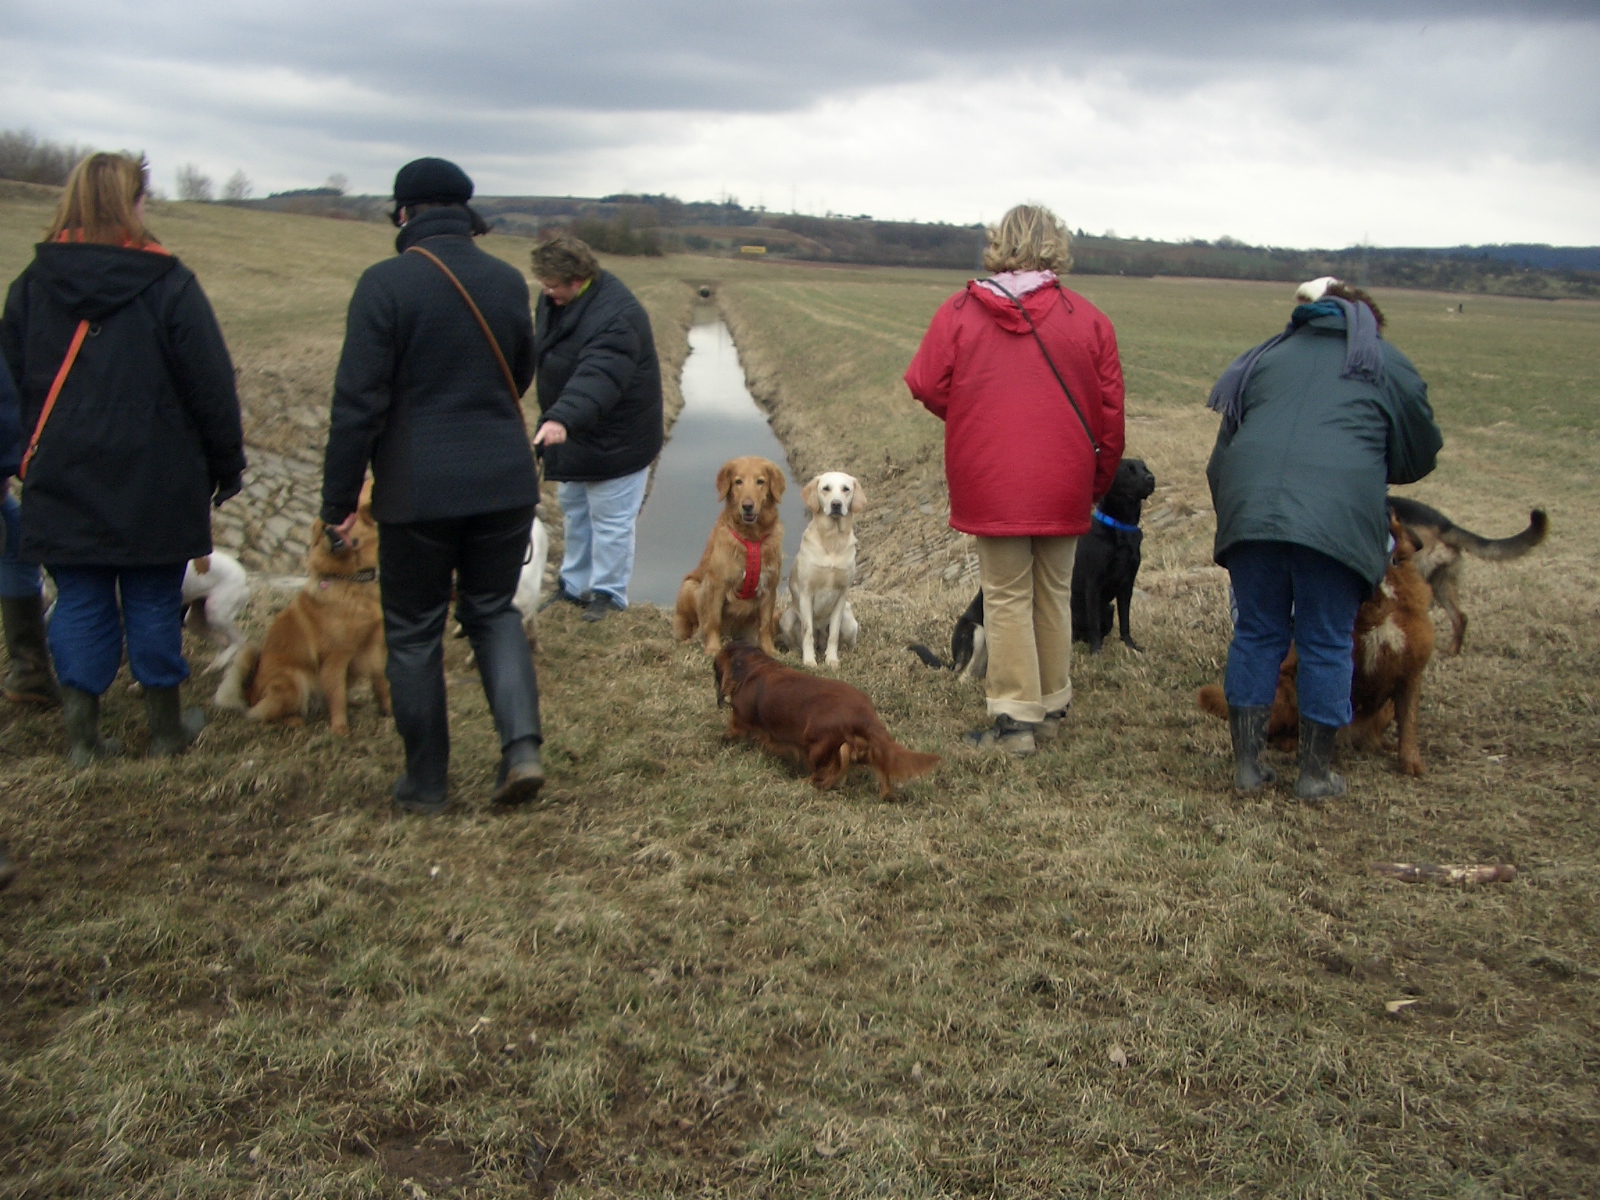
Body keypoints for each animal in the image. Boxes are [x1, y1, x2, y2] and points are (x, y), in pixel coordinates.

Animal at [216, 483, 390, 739]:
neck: (351, 580)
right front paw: (340, 729)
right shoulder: (336, 657)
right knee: (266, 712)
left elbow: (380, 684)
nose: (330, 533)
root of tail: (250, 693)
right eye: (325, 527)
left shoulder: (376, 646)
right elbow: (336, 694)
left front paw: (388, 712)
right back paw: (293, 720)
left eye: (344, 522)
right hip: (293, 678)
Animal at [672, 454, 784, 659]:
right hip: (690, 586)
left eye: (760, 481)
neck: (751, 538)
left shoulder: (769, 587)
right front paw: (713, 648)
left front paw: (768, 649)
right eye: (738, 481)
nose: (747, 506)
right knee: (693, 629)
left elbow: (765, 625)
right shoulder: (717, 584)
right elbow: (714, 620)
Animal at [713, 643, 934, 803]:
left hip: (817, 747)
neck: (756, 667)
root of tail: (864, 715)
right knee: (882, 773)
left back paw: (802, 783)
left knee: (821, 776)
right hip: (863, 749)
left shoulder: (739, 719)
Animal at [777, 473, 864, 672]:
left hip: (849, 621)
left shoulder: (841, 595)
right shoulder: (806, 592)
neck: (832, 540)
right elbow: (807, 632)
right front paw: (809, 661)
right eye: (826, 488)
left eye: (846, 489)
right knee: (798, 642)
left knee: (844, 641)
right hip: (787, 618)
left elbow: (833, 634)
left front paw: (831, 660)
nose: (836, 504)